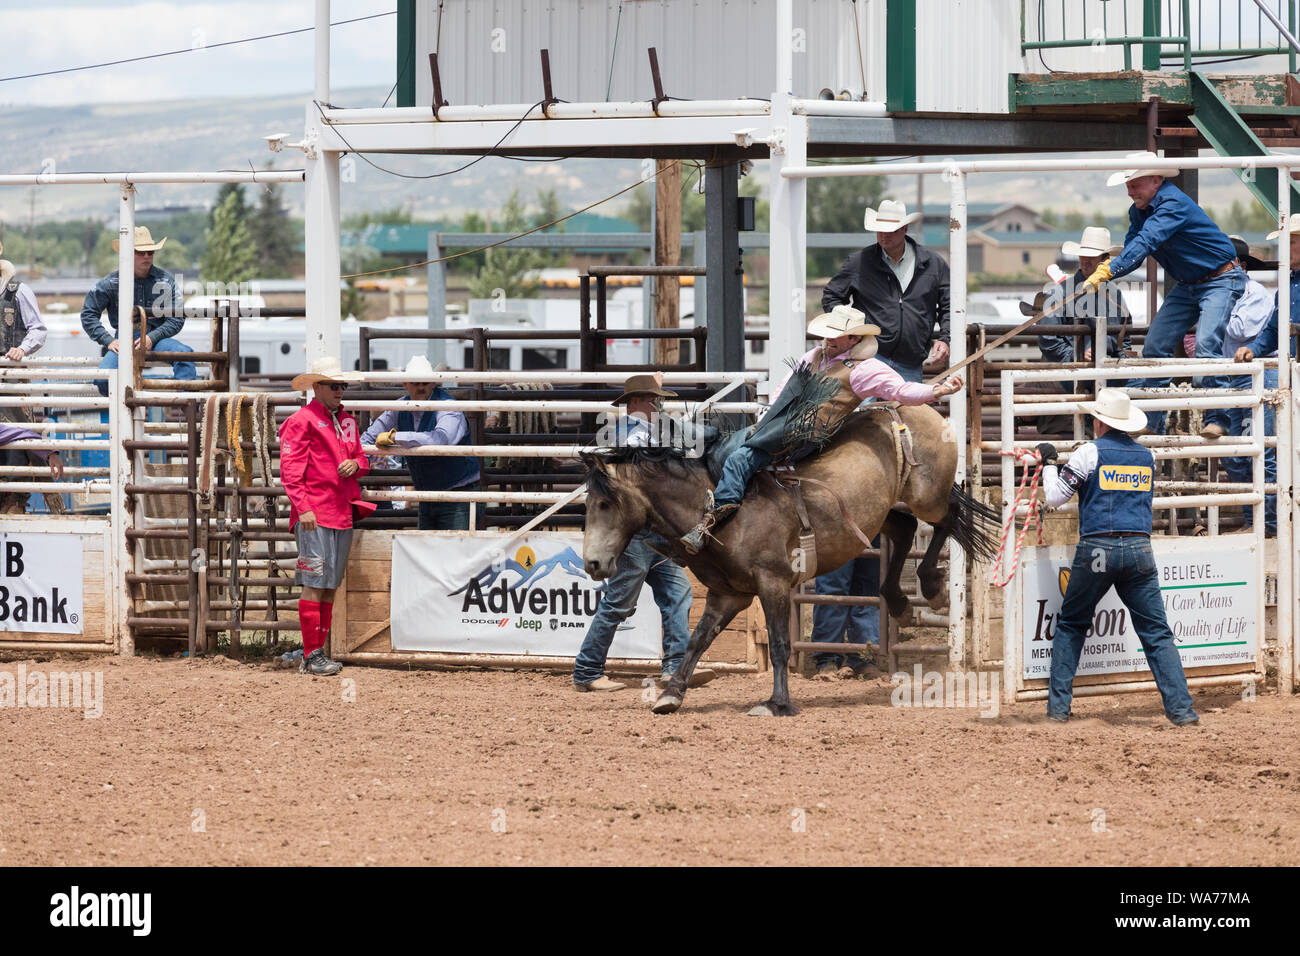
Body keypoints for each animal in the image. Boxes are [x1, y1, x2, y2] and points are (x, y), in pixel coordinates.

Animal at [585, 403, 998, 717]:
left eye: (605, 503)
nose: (592, 564)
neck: (718, 511)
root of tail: (916, 411)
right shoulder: (727, 595)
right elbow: (697, 640)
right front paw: (671, 694)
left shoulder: (774, 583)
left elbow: (781, 644)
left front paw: (777, 703)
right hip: (882, 512)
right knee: (905, 527)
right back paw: (899, 602)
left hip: (928, 495)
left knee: (946, 519)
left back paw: (930, 583)